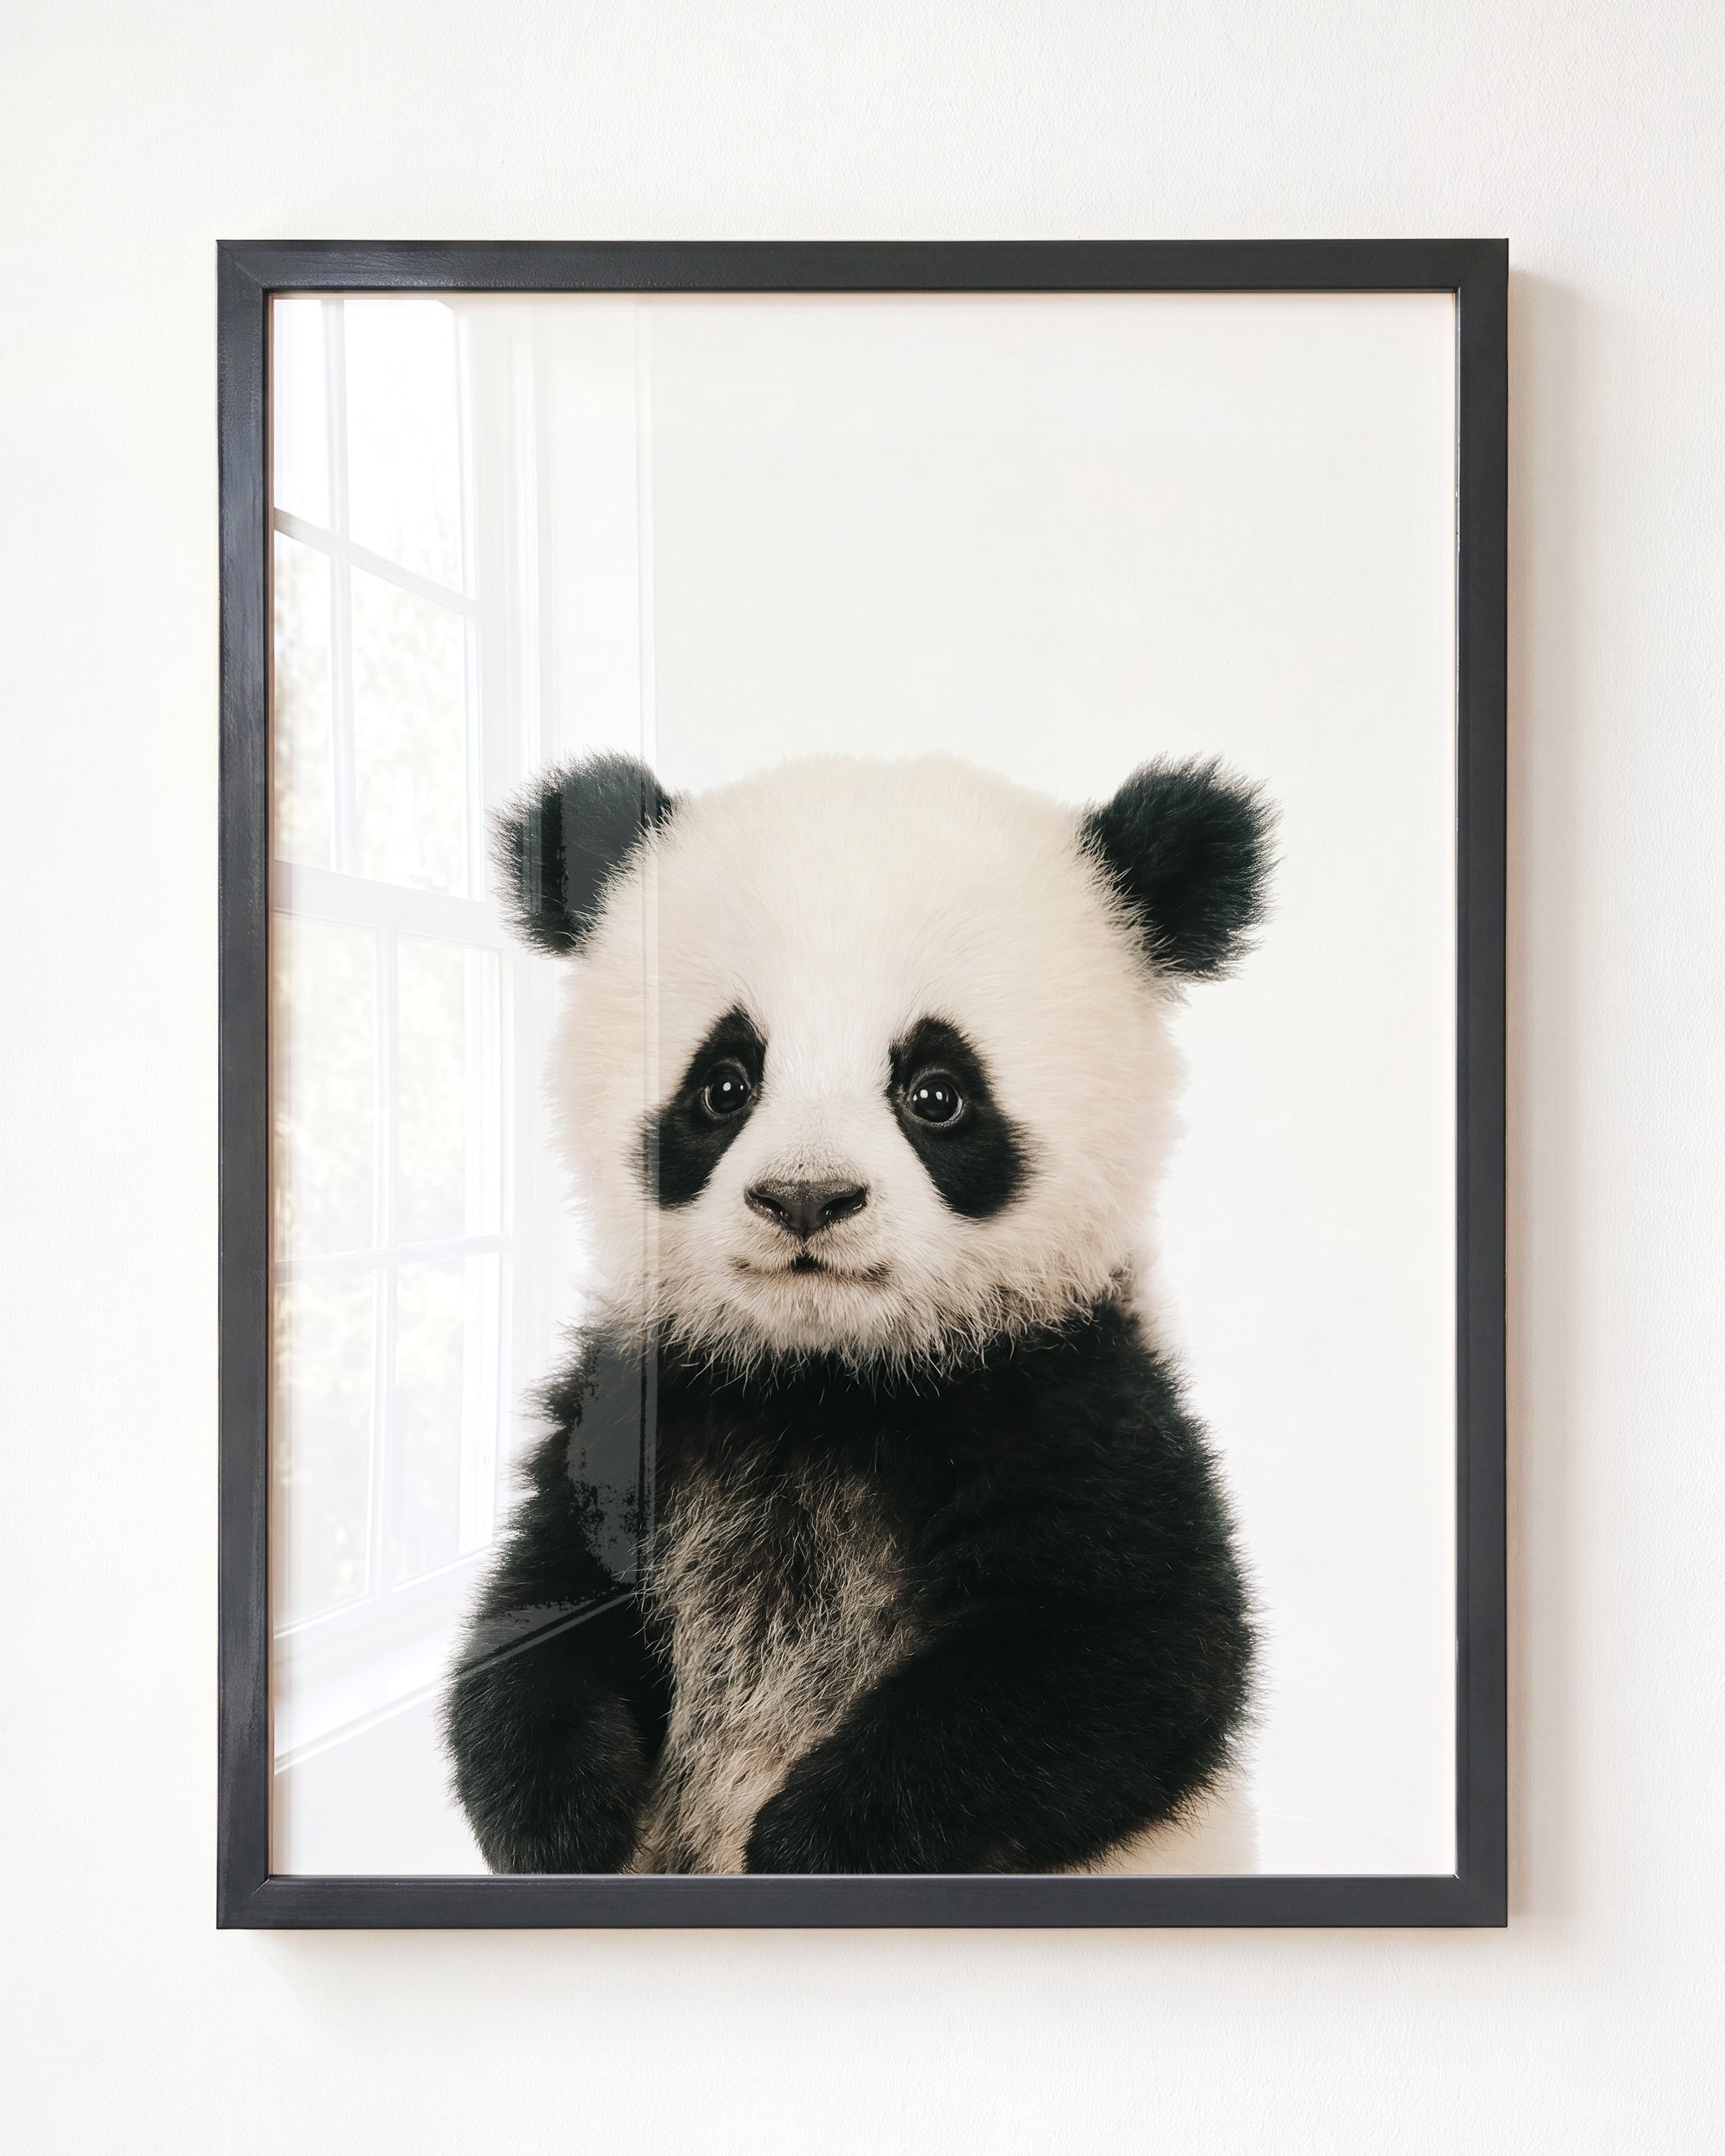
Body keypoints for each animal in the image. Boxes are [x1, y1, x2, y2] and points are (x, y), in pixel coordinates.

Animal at [444, 750, 1271, 1876]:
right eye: (724, 1083)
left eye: (936, 1092)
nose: (806, 1197)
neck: (826, 1375)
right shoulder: (641, 1404)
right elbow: (539, 1609)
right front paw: (563, 1820)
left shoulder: (1072, 1394)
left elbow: (1127, 1656)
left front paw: (810, 1842)